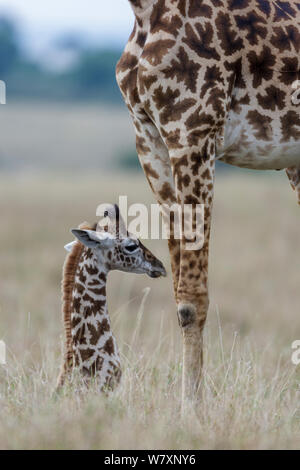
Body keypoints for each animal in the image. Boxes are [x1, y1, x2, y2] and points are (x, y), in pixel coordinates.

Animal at [116, 0, 300, 404]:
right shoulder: (150, 140)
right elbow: (178, 291)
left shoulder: (193, 133)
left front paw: (192, 410)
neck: (144, 12)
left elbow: (192, 299)